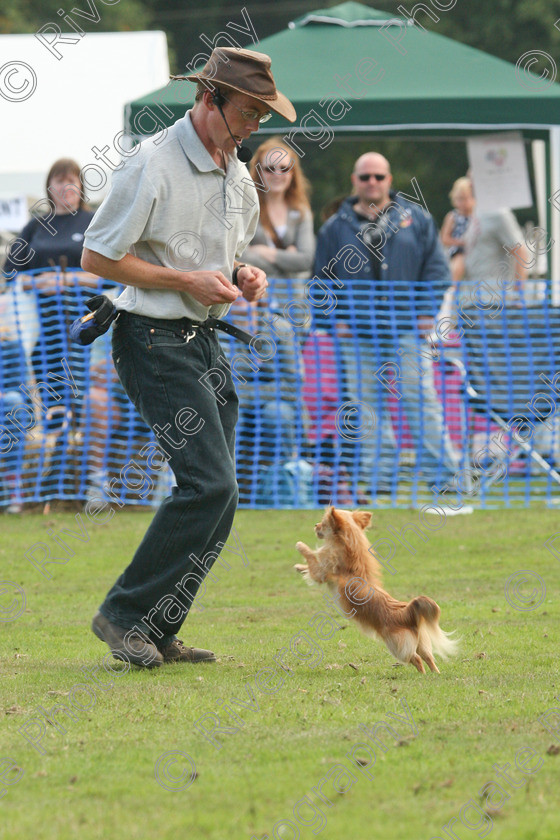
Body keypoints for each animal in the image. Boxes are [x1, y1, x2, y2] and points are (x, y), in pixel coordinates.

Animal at [296, 506, 458, 676]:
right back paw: (434, 674)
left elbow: (311, 558)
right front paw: (299, 567)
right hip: (422, 643)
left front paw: (300, 546)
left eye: (323, 523)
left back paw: (422, 674)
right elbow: (308, 564)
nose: (315, 525)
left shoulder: (321, 572)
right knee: (428, 657)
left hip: (397, 647)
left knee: (416, 659)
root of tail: (406, 613)